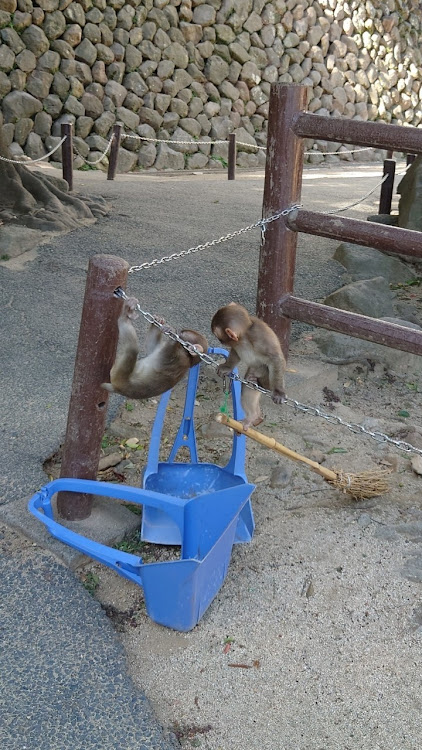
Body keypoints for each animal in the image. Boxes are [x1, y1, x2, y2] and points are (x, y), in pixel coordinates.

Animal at [211, 302, 286, 432]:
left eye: (218, 337)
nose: (219, 341)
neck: (244, 335)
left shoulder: (259, 337)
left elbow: (275, 358)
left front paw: (279, 392)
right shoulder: (237, 342)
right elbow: (236, 352)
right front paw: (227, 367)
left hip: (267, 378)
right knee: (249, 386)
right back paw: (253, 416)